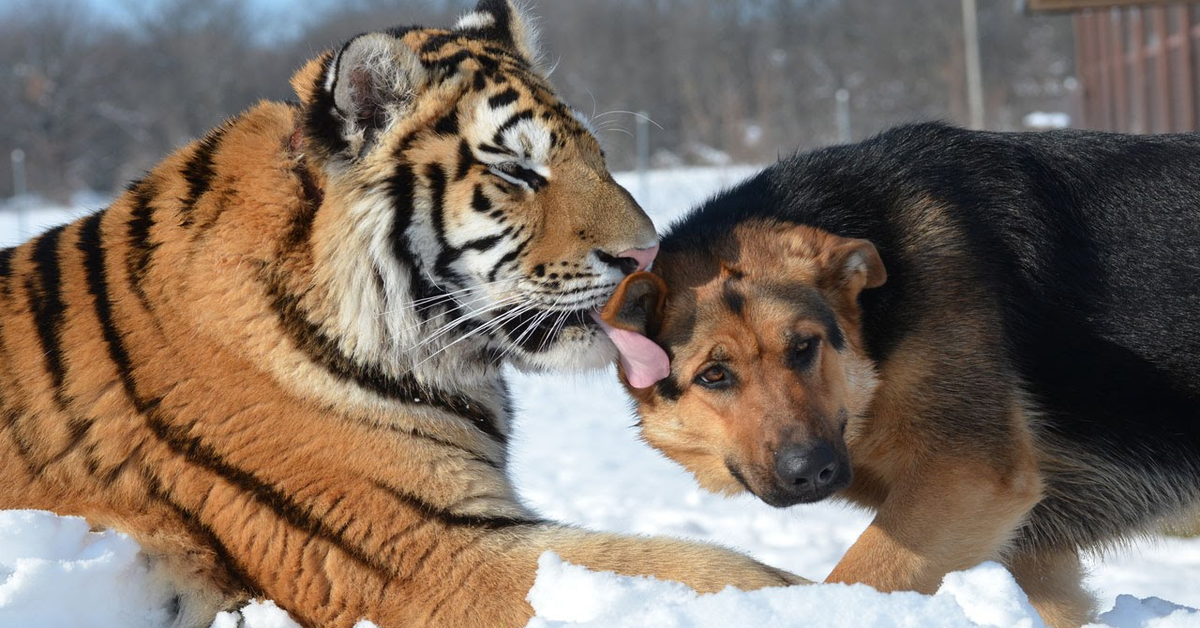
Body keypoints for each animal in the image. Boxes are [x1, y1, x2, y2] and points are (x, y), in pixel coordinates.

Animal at [604, 121, 1200, 624]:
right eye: (714, 375)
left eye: (803, 347)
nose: (810, 471)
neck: (875, 344)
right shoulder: (1030, 549)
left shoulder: (968, 477)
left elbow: (856, 578)